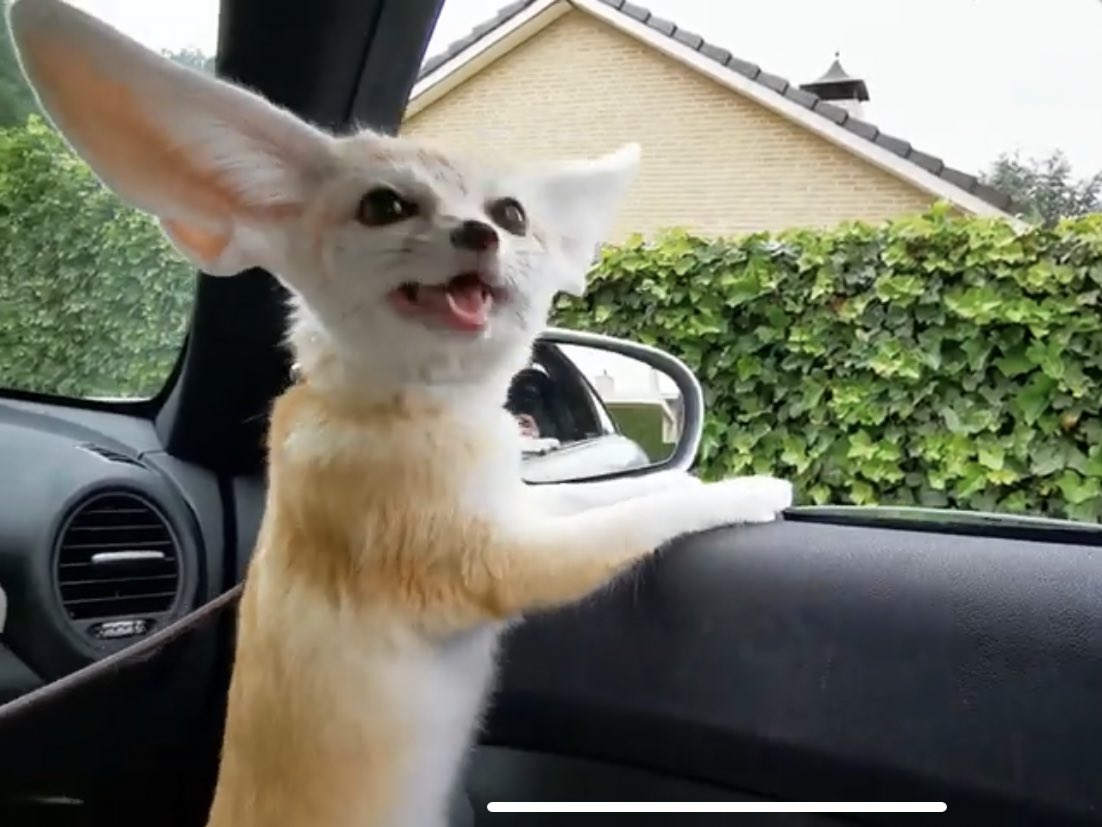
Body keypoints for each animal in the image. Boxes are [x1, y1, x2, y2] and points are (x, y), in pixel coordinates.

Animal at [7, 0, 794, 825]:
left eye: (513, 214)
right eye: (383, 206)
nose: (481, 232)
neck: (417, 402)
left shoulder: (512, 505)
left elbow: (605, 495)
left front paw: (678, 476)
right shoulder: (501, 562)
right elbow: (632, 524)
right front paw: (746, 490)